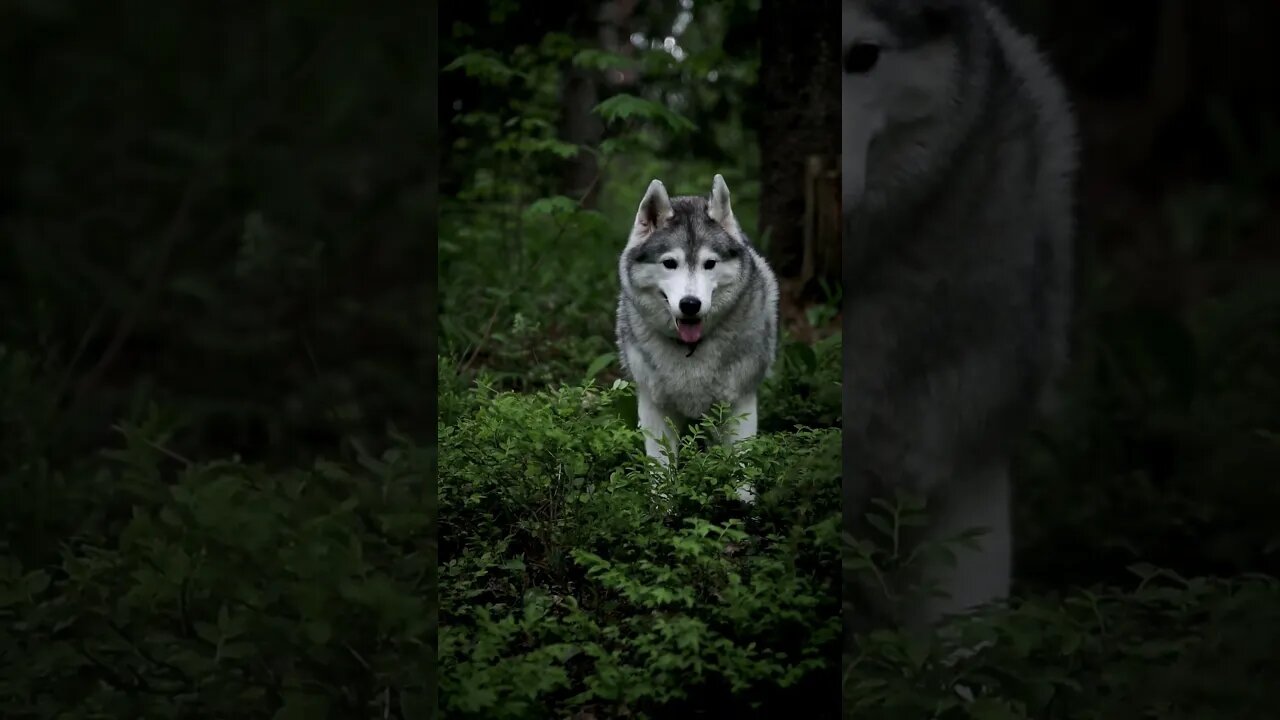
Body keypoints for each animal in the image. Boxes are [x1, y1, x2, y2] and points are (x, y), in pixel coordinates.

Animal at [611, 172, 778, 499]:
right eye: (669, 263)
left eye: (709, 264)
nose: (690, 304)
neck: (691, 348)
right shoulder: (654, 408)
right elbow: (661, 474)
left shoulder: (740, 403)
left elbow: (741, 471)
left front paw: (743, 509)